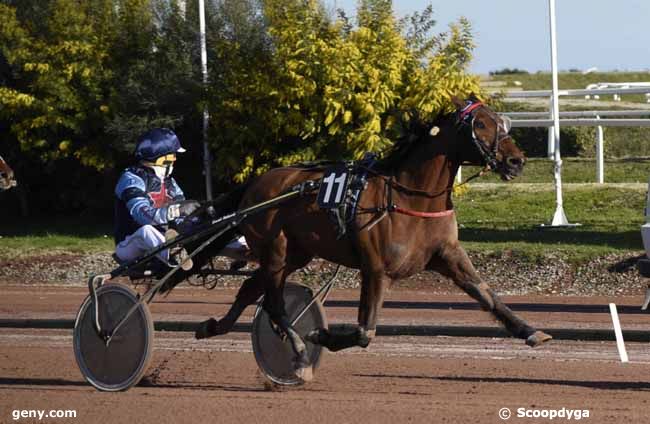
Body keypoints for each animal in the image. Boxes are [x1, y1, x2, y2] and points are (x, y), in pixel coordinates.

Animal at [195, 96, 548, 380]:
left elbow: (486, 295)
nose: (517, 161)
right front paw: (320, 337)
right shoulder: (376, 269)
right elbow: (366, 332)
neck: (411, 198)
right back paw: (300, 355)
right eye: (481, 124)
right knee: (274, 305)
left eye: (502, 121)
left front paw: (531, 331)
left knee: (250, 289)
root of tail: (257, 183)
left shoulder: (448, 254)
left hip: (295, 254)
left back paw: (212, 327)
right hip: (275, 249)